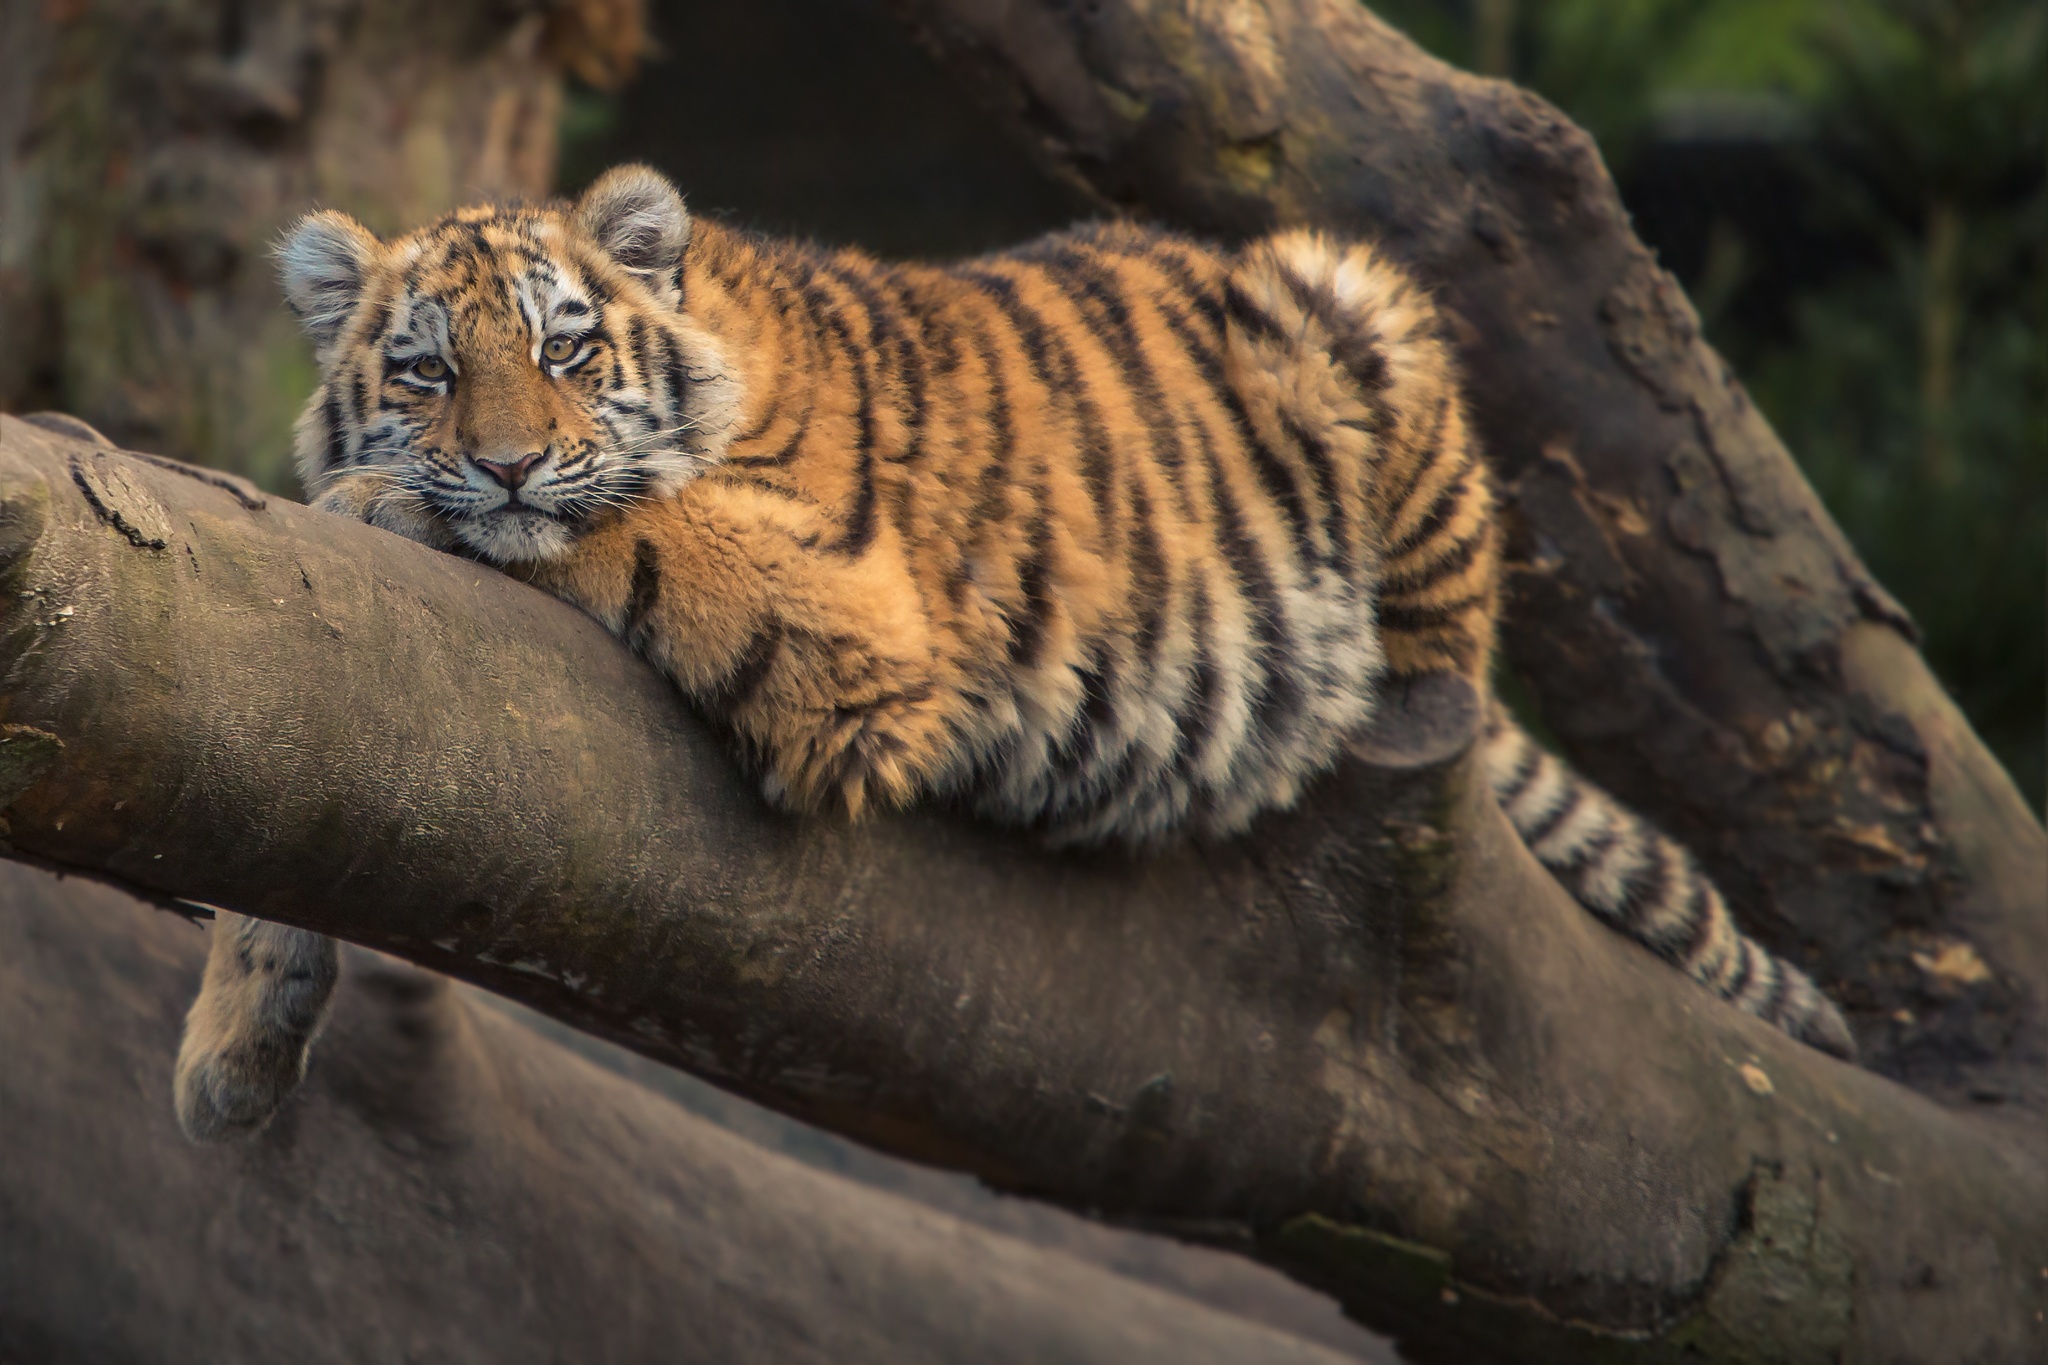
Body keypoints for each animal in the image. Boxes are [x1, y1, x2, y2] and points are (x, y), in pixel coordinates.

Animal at [167, 160, 1851, 1146]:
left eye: (567, 349)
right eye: (426, 371)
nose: (506, 462)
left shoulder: (846, 617)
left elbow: (624, 522)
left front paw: (385, 500)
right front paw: (232, 1056)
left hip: (1352, 310)